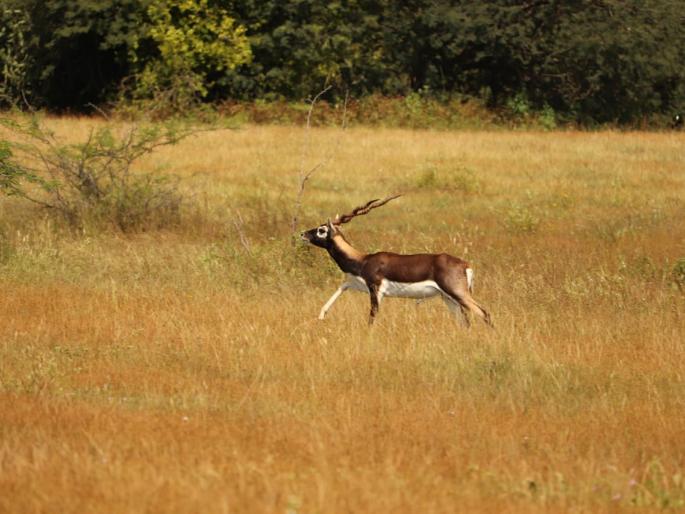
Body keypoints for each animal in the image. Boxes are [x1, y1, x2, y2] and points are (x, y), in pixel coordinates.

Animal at [300, 195, 493, 327]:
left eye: (321, 230)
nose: (303, 234)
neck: (363, 260)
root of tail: (465, 265)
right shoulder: (354, 283)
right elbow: (337, 291)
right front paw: (321, 316)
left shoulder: (376, 290)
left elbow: (372, 317)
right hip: (448, 298)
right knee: (465, 321)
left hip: (457, 293)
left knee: (484, 313)